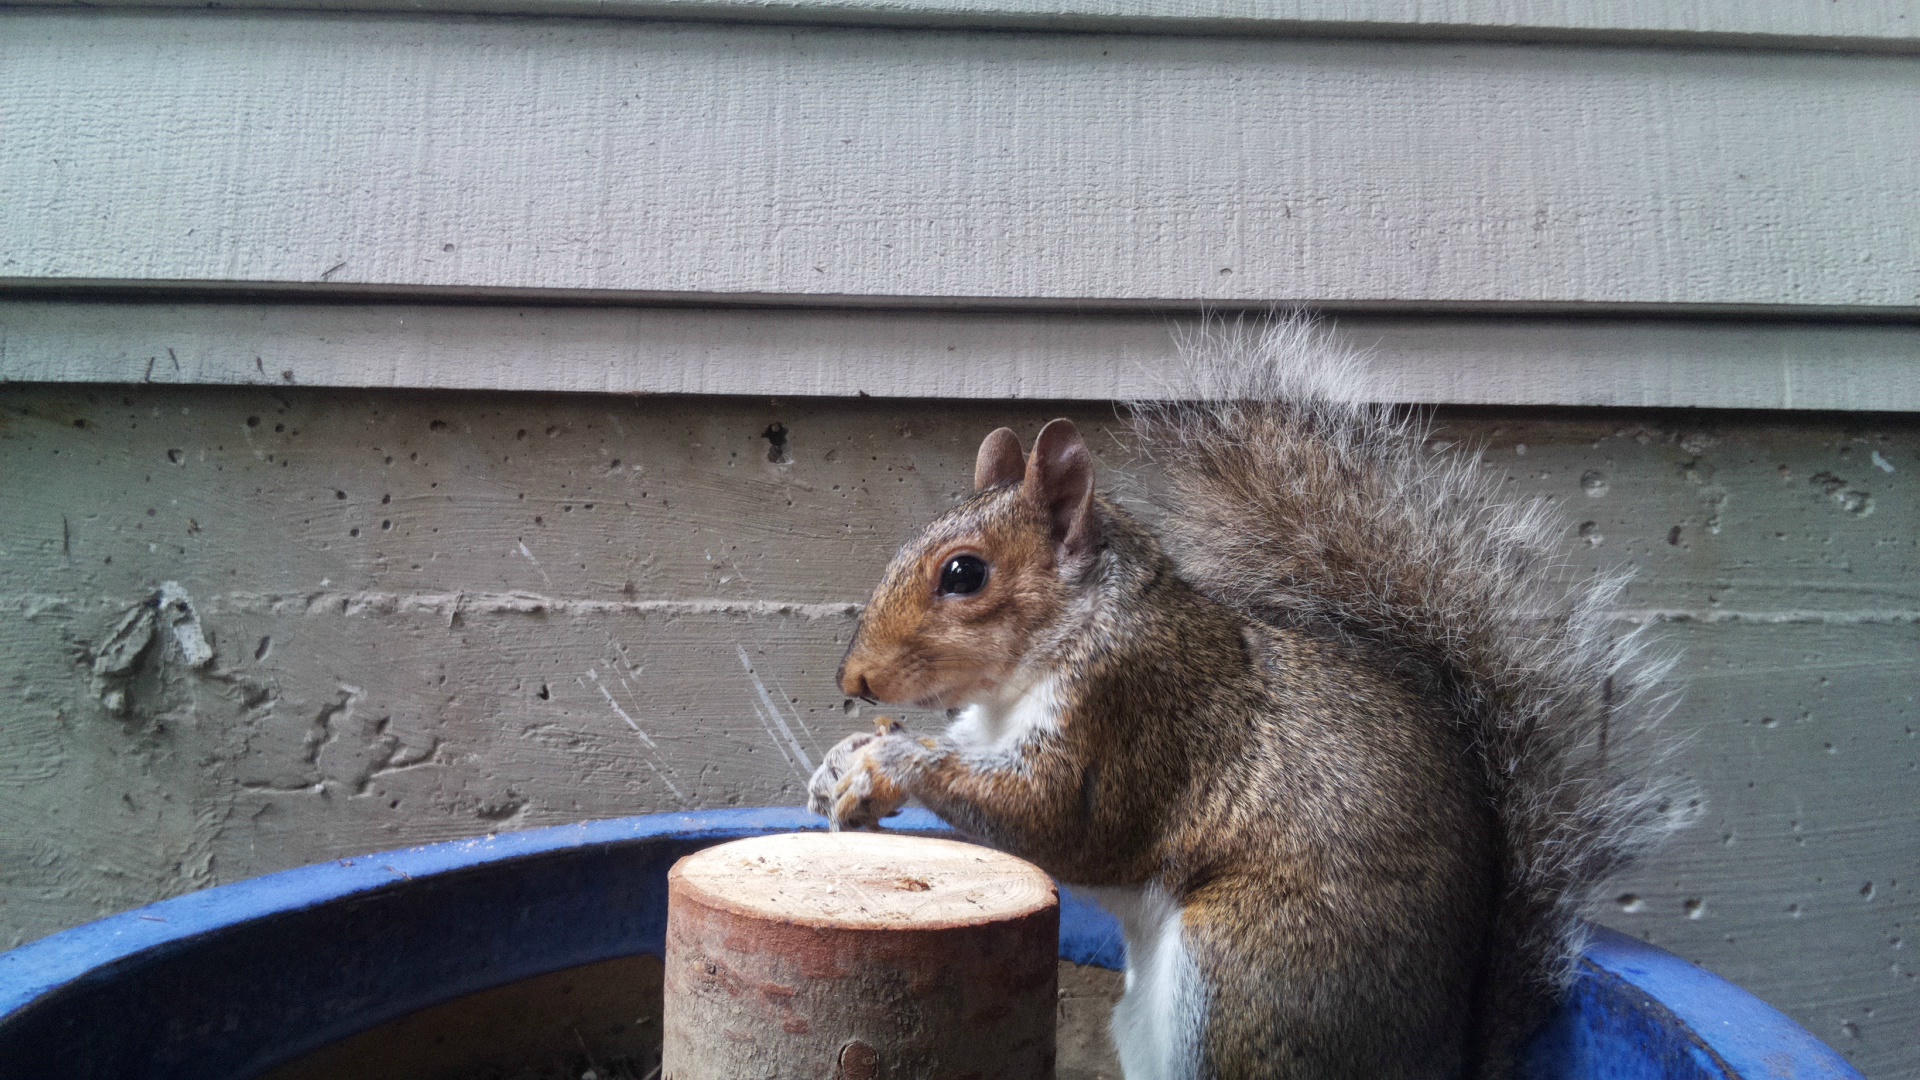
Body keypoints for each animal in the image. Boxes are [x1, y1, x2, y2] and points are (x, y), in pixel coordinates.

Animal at [806, 317, 1688, 1080]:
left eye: (964, 574)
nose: (854, 681)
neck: (1065, 636)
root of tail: (1438, 1061)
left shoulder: (1135, 714)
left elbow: (1055, 818)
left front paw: (890, 759)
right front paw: (842, 762)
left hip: (1248, 973)